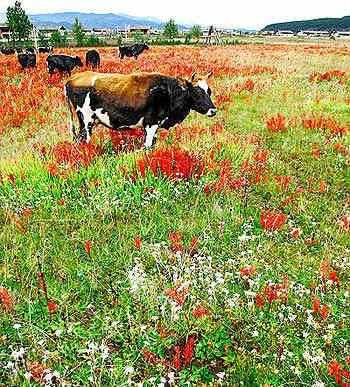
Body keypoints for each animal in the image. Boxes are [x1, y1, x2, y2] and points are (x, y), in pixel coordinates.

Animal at [63, 70, 216, 148]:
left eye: (209, 91)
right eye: (197, 92)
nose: (213, 111)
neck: (168, 91)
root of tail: (73, 78)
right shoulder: (151, 124)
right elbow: (148, 146)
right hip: (87, 121)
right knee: (84, 140)